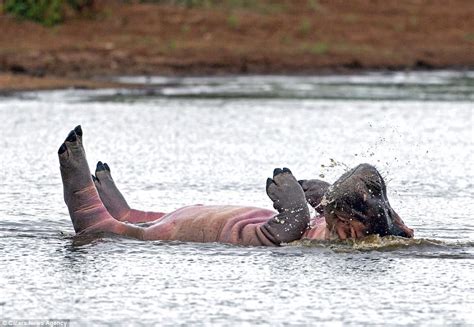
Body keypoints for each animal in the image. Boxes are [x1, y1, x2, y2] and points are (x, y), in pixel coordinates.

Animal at [57, 125, 412, 246]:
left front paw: (284, 181)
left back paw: (73, 147)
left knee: (87, 206)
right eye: (385, 200)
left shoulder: (279, 237)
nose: (374, 177)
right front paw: (308, 184)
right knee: (132, 211)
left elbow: (291, 220)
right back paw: (102, 175)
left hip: (106, 225)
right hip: (149, 216)